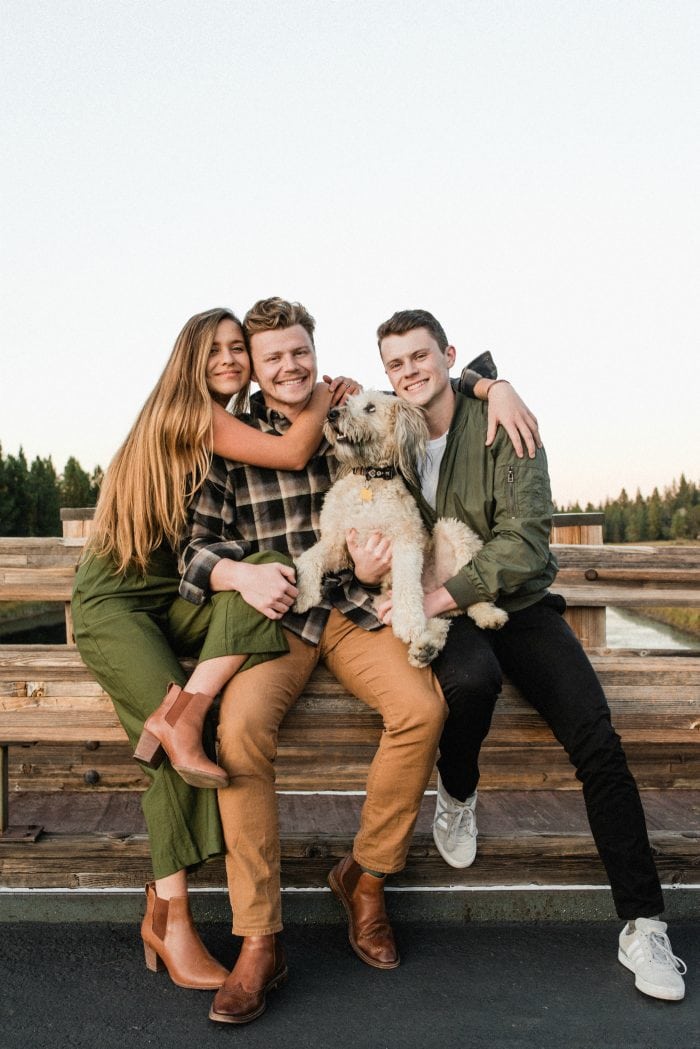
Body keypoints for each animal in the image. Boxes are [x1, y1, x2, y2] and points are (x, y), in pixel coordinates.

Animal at [293, 390, 505, 667]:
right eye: (348, 402)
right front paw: (304, 596)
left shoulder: (406, 543)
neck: (369, 479)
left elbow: (407, 584)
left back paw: (488, 616)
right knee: (437, 621)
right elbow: (308, 558)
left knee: (467, 596)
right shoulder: (339, 545)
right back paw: (425, 647)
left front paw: (407, 622)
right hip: (384, 599)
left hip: (453, 530)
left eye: (370, 407)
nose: (332, 414)